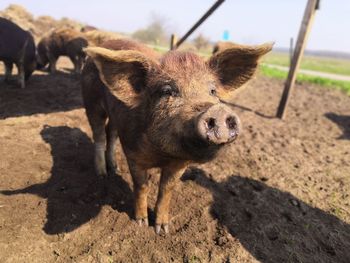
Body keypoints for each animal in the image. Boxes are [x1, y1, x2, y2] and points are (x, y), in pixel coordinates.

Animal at [82, 38, 274, 235]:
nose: (217, 110)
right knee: (99, 135)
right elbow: (141, 186)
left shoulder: (180, 164)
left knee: (111, 133)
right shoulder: (133, 154)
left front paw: (162, 230)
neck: (161, 154)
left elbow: (166, 190)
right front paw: (141, 223)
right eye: (167, 91)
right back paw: (102, 174)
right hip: (91, 102)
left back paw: (115, 170)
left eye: (213, 91)